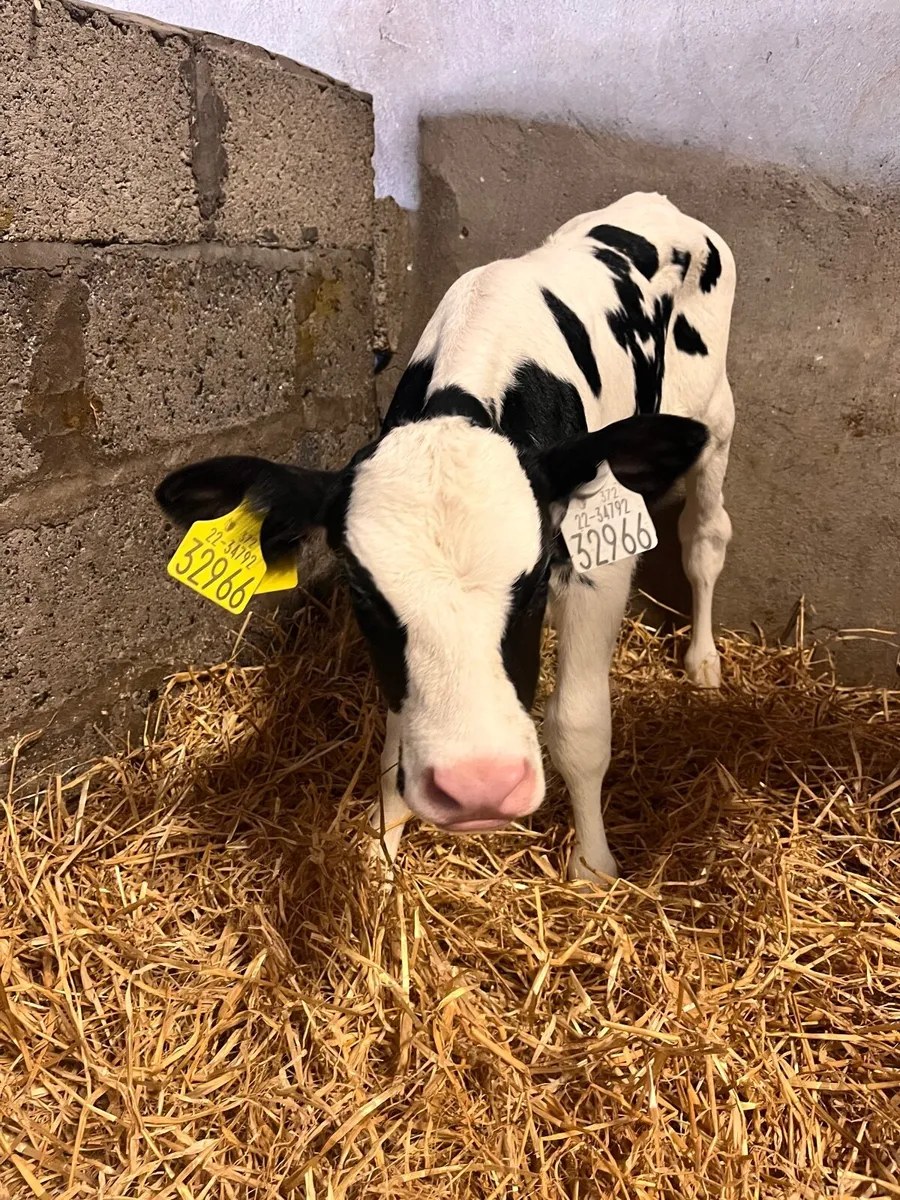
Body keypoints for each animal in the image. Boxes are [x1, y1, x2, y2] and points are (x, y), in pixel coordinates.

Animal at [156, 192, 735, 883]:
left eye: (535, 581)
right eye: (360, 593)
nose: (479, 787)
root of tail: (655, 203)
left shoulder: (598, 558)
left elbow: (580, 726)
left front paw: (592, 868)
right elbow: (395, 741)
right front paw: (381, 849)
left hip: (717, 417)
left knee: (705, 539)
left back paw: (703, 660)